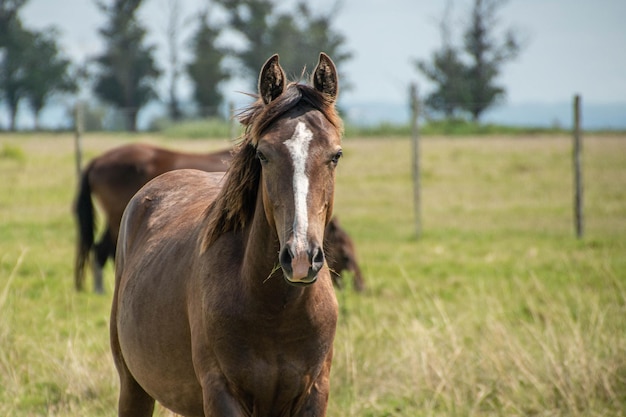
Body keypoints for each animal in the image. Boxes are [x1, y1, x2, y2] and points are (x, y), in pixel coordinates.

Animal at [111, 53, 342, 414]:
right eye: (263, 154)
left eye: (336, 155)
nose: (301, 257)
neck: (275, 311)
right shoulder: (222, 394)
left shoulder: (314, 393)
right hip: (133, 387)